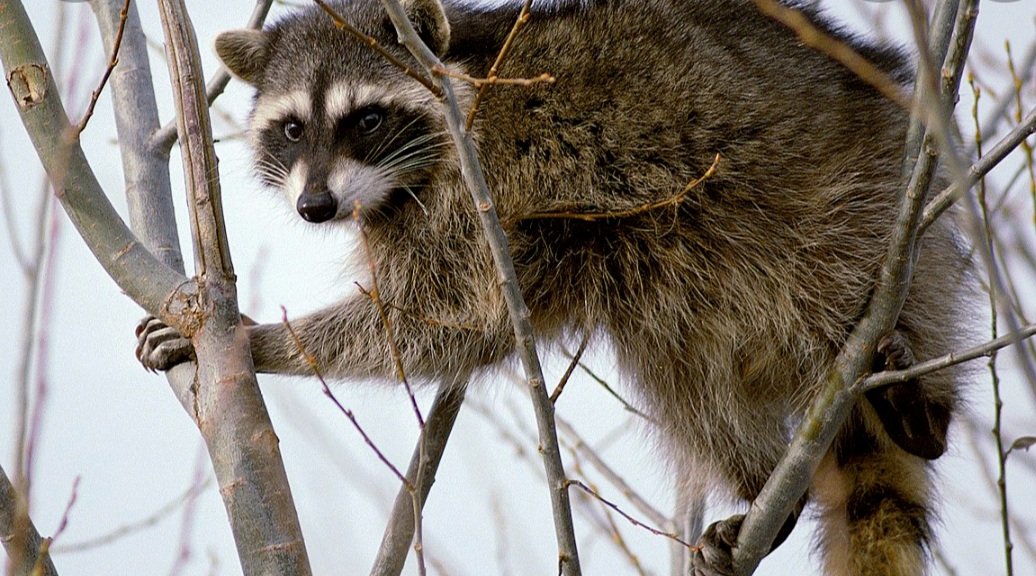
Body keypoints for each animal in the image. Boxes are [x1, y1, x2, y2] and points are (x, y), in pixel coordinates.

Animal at [137, 0, 972, 573]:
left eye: (365, 119)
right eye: (290, 130)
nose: (316, 206)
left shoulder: (483, 187)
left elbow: (437, 317)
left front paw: (262, 339)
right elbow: (448, 326)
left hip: (849, 204)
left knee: (784, 291)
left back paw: (919, 410)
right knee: (675, 356)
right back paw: (765, 478)